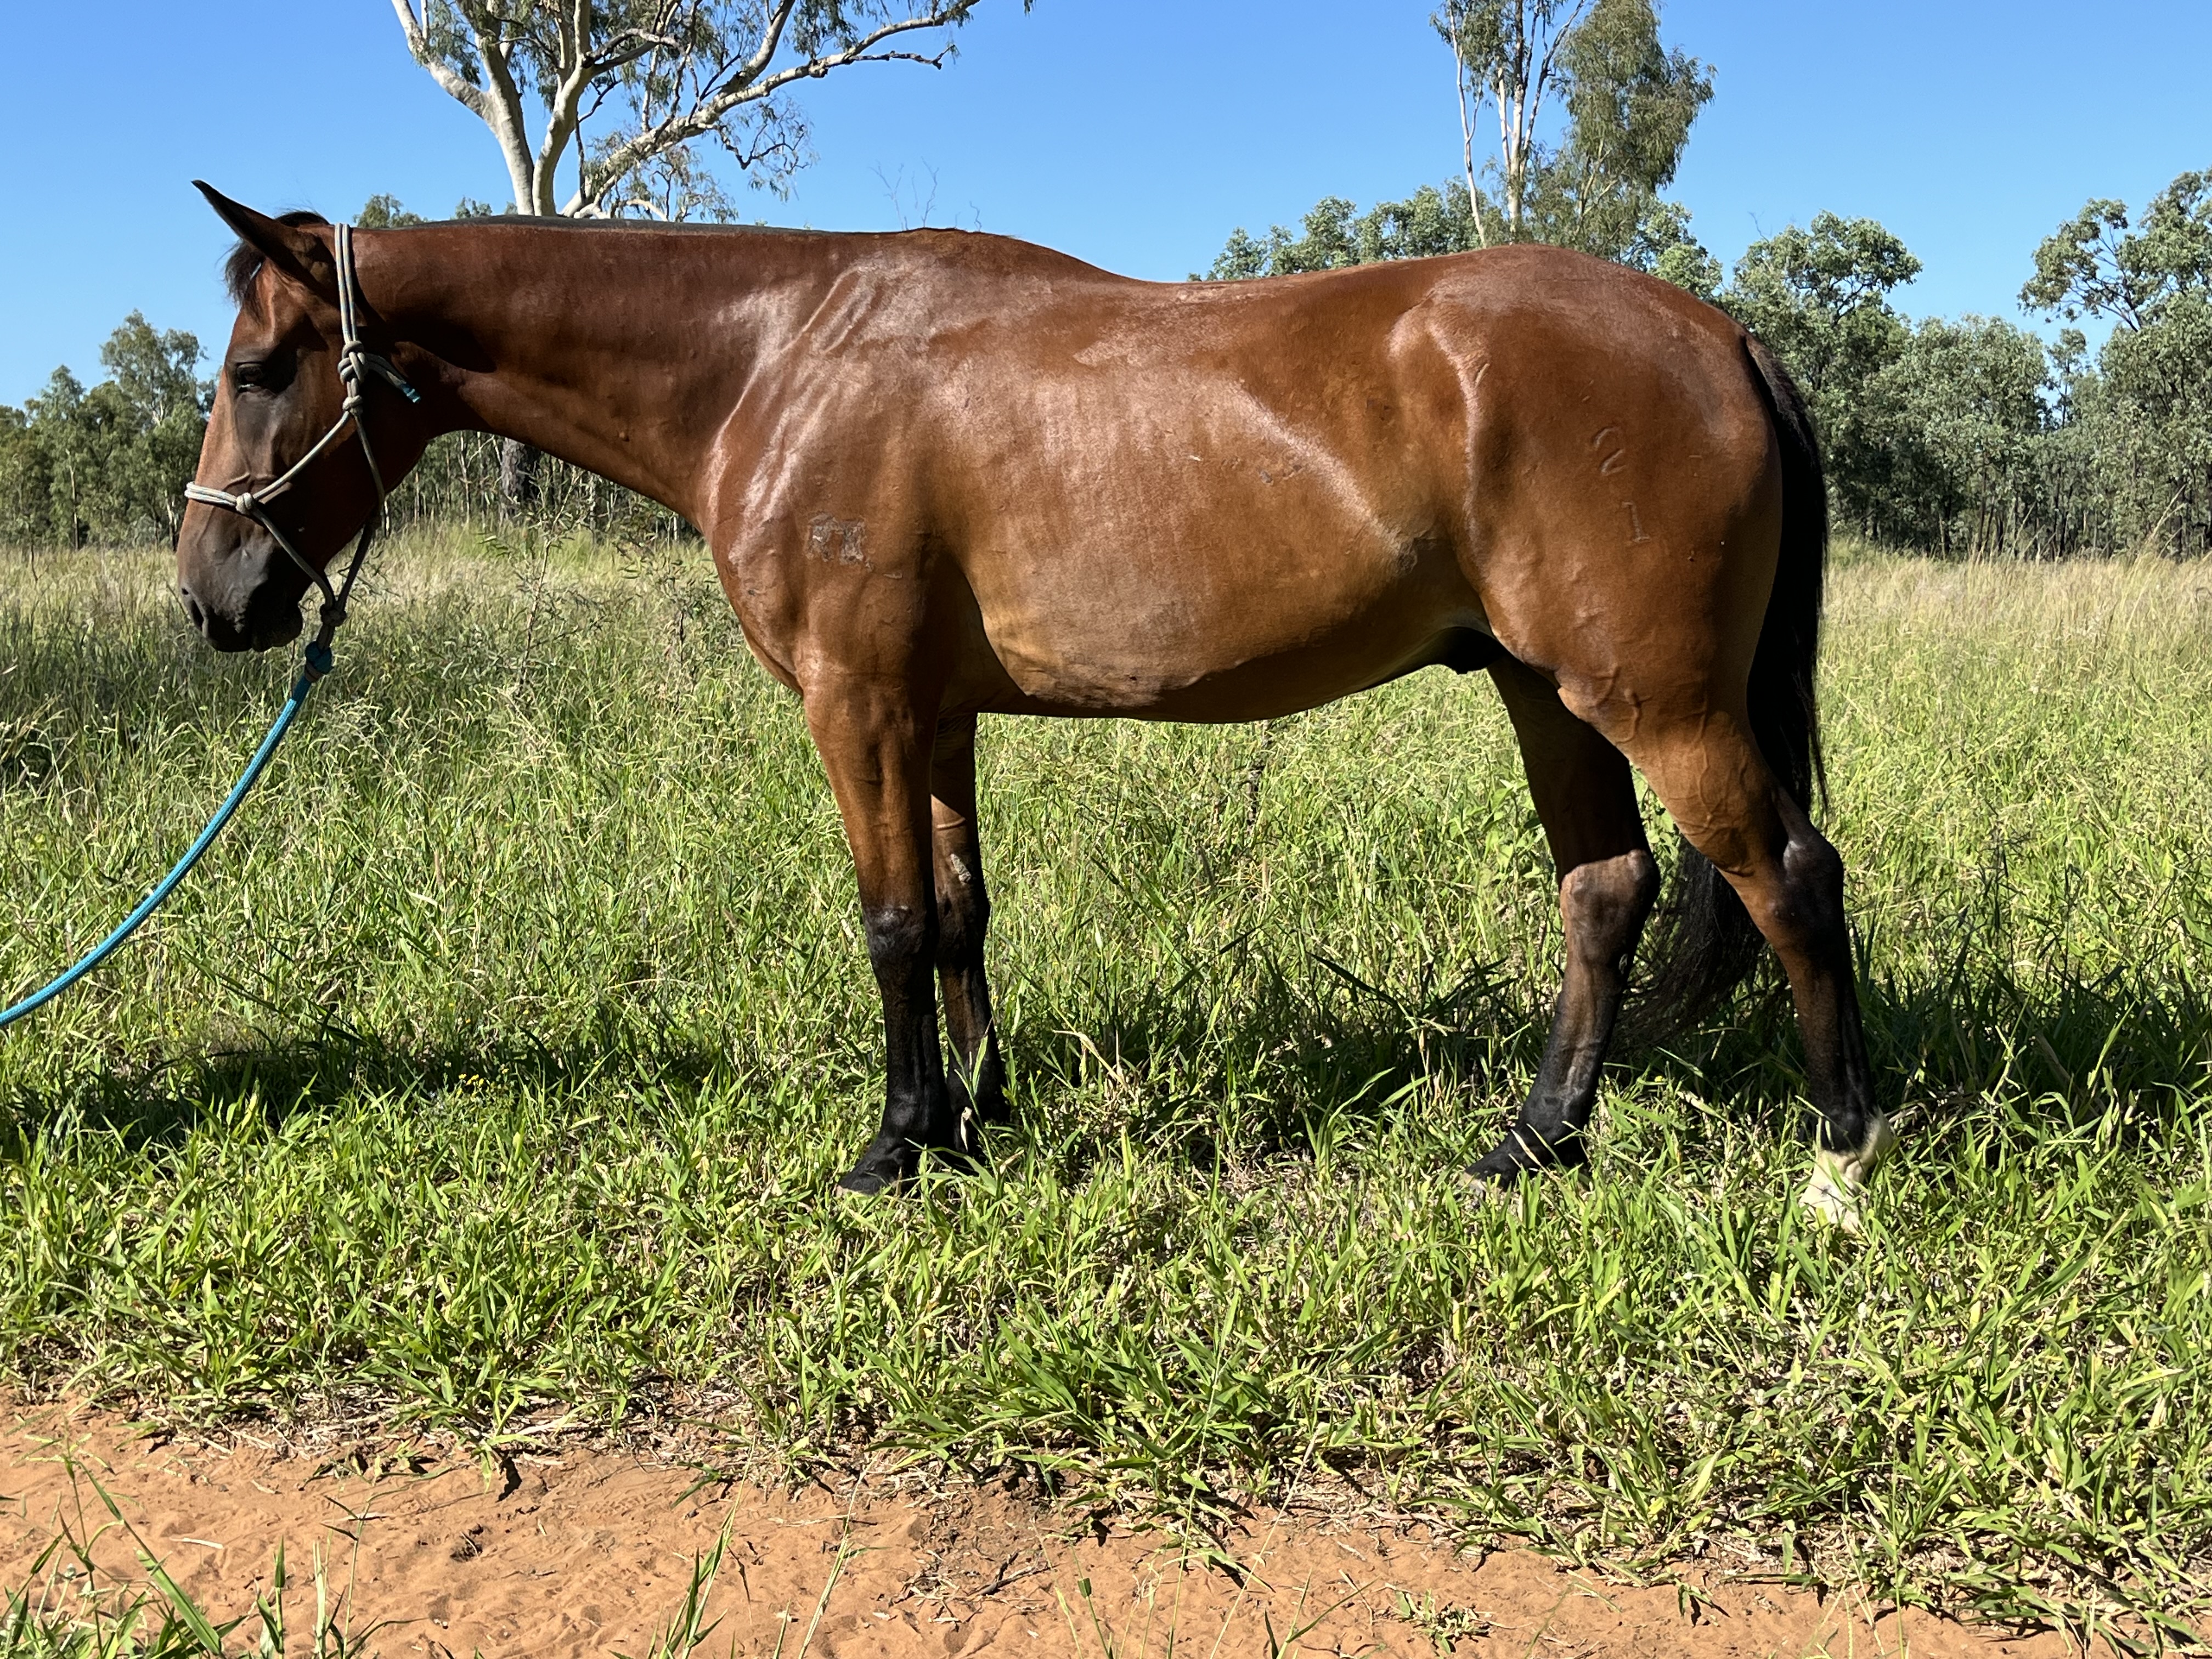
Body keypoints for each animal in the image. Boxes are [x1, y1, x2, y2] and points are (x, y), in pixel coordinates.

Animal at [177, 184, 1895, 1225]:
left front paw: (890, 1146)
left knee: (1791, 878)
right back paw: (1533, 1144)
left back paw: (1838, 1160)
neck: (774, 362)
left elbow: (886, 924)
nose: (213, 598)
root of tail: (1720, 332)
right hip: (1553, 693)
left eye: (262, 368)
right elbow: (957, 915)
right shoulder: (933, 715)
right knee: (1607, 890)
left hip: (1654, 696)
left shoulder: (857, 706)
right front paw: (972, 1117)